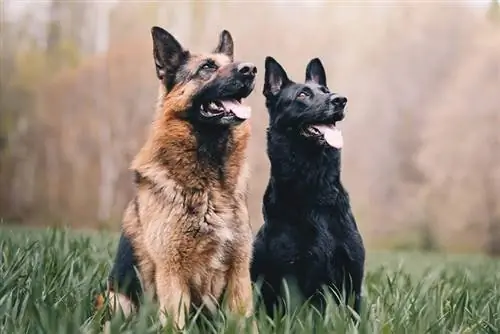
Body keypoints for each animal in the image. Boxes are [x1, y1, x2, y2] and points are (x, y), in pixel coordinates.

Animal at [100, 26, 258, 328]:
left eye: (232, 63)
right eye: (207, 67)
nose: (252, 69)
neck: (210, 186)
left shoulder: (240, 274)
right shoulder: (172, 275)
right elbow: (175, 324)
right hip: (117, 300)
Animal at [249, 56, 364, 318]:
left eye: (326, 91)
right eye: (303, 94)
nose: (340, 100)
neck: (316, 191)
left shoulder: (353, 278)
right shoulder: (291, 278)